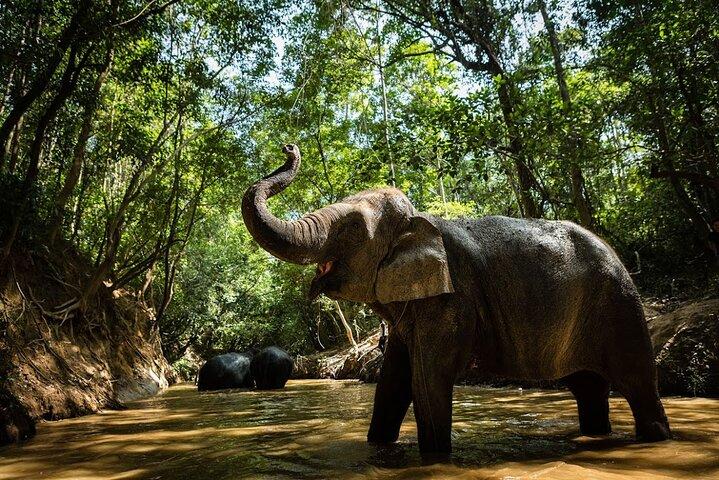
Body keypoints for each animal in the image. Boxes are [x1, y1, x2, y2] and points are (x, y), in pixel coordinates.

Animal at [242, 144, 671, 456]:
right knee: (588, 387)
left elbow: (428, 379)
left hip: (619, 306)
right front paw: (378, 446)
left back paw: (657, 438)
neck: (421, 222)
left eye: (352, 228)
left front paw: (434, 456)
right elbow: (393, 381)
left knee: (637, 383)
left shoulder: (452, 300)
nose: (288, 146)